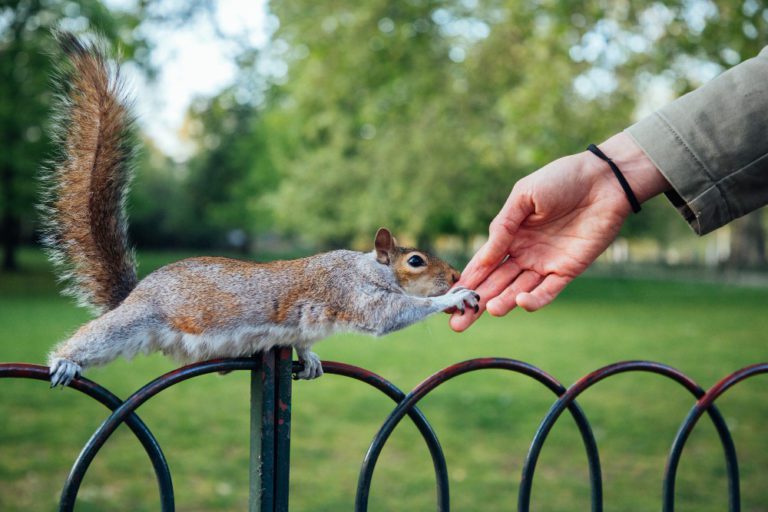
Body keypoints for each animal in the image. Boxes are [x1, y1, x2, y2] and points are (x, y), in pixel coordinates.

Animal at [42, 32, 480, 387]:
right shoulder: (352, 294)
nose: (454, 274)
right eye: (416, 261)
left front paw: (310, 357)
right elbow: (392, 314)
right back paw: (65, 361)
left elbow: (304, 341)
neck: (368, 268)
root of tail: (132, 294)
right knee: (94, 337)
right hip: (134, 321)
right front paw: (452, 297)